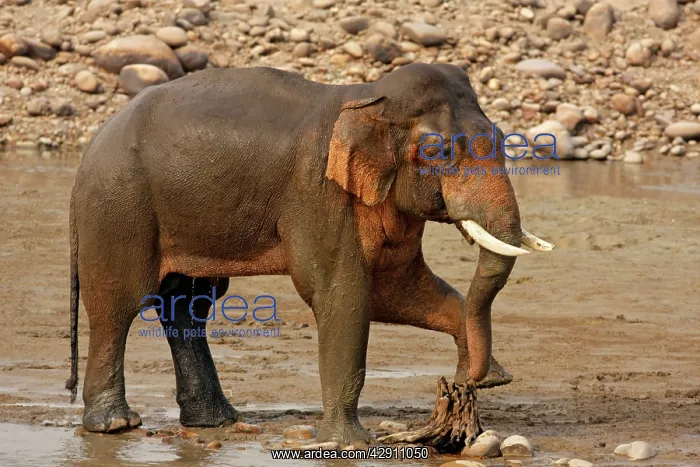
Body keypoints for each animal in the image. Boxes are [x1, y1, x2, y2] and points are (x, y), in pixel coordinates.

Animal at [64, 62, 553, 444]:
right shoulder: (317, 195)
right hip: (118, 206)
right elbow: (344, 297)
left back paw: (215, 421)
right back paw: (115, 425)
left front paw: (491, 376)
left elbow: (399, 290)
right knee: (118, 306)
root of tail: (91, 144)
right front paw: (349, 444)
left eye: (500, 137)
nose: (468, 380)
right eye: (439, 150)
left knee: (188, 305)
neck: (367, 98)